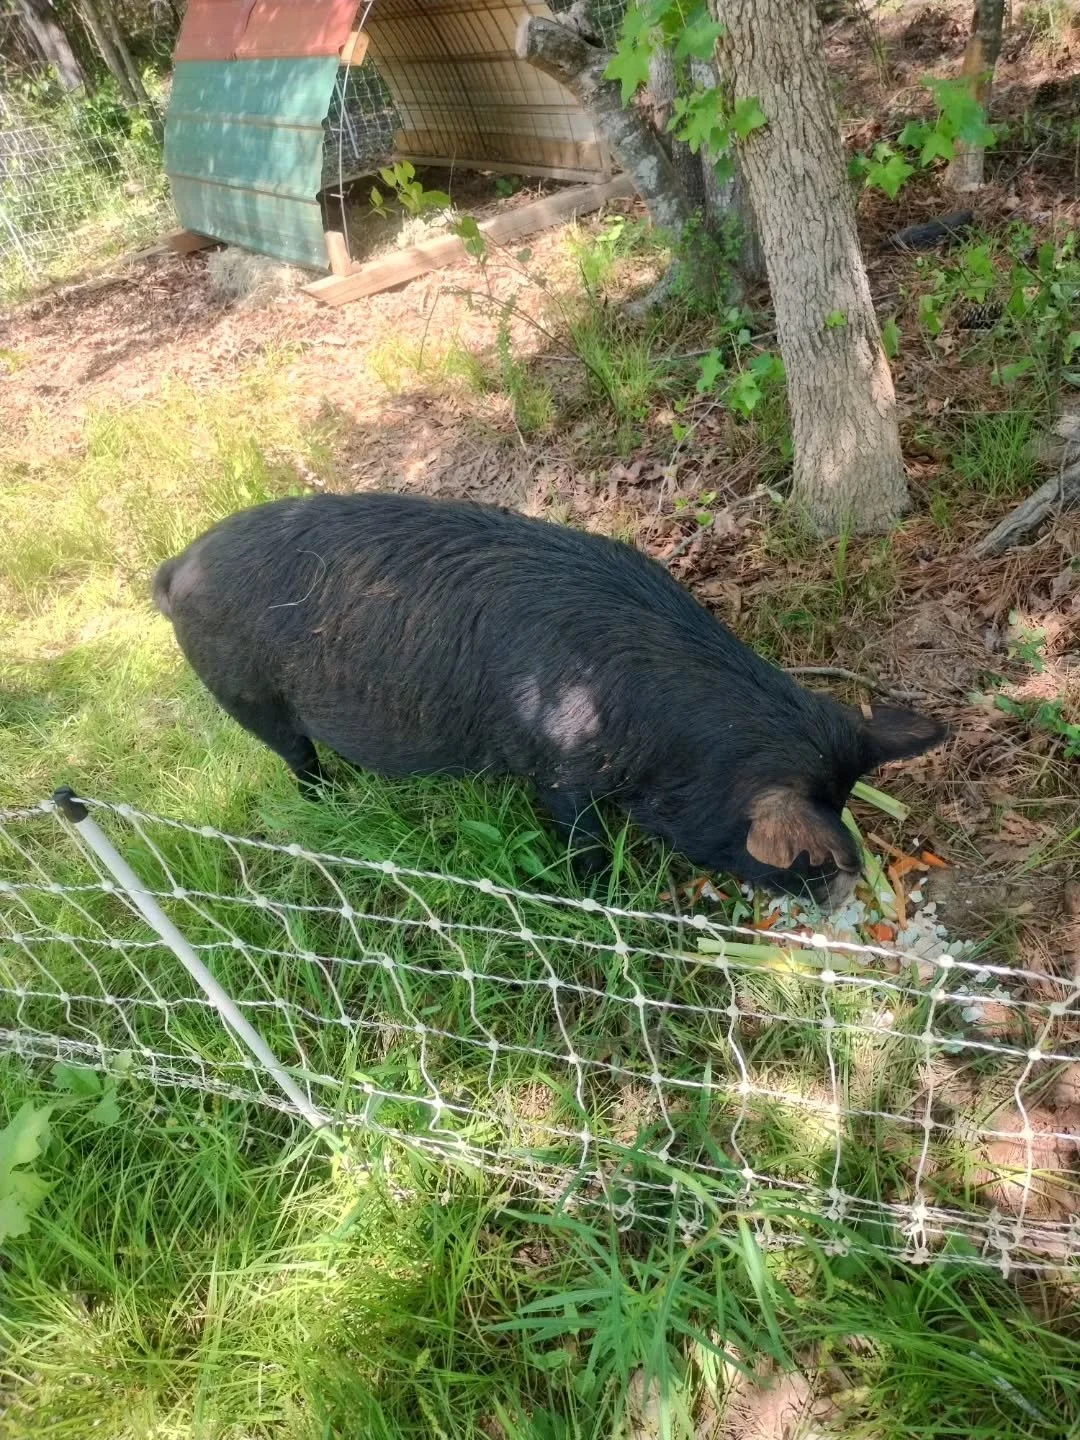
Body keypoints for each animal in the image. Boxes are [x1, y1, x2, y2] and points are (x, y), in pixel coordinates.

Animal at [153, 493, 947, 907]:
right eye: (808, 858)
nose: (842, 895)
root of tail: (178, 566)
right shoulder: (561, 772)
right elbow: (584, 842)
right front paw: (605, 895)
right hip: (245, 694)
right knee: (296, 759)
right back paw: (328, 804)